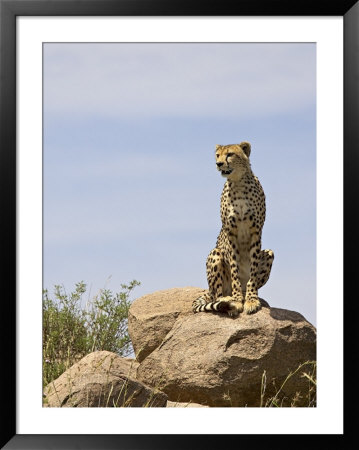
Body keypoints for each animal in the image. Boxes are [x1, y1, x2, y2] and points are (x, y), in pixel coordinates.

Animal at [193, 142, 274, 316]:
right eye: (217, 155)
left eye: (230, 154)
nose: (218, 164)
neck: (238, 183)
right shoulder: (231, 233)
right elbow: (234, 268)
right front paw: (237, 301)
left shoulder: (256, 231)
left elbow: (253, 271)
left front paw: (251, 299)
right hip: (215, 253)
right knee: (216, 295)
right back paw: (227, 299)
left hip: (269, 253)